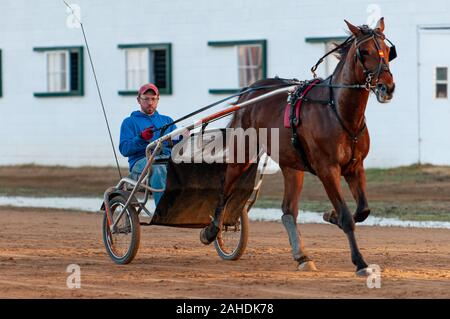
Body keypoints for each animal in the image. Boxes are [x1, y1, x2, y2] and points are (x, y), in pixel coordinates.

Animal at [200, 18, 394, 276]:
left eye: (388, 50)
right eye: (364, 52)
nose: (387, 87)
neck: (338, 111)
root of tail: (248, 93)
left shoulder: (355, 167)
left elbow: (362, 210)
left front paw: (329, 215)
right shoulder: (327, 169)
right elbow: (346, 216)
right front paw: (360, 262)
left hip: (292, 164)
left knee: (288, 210)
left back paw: (302, 255)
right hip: (243, 152)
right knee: (225, 189)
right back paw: (212, 231)